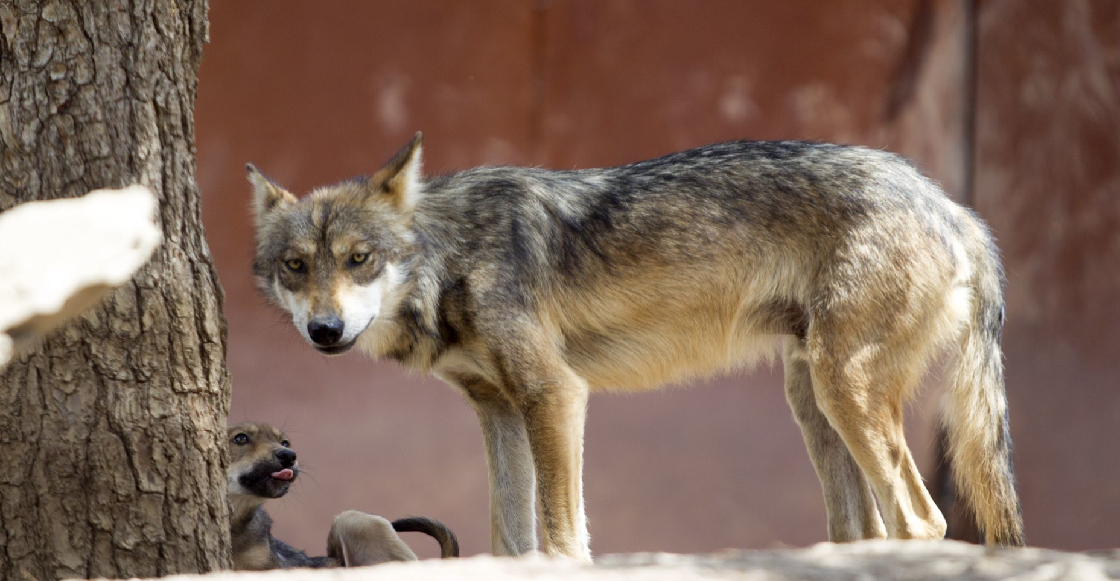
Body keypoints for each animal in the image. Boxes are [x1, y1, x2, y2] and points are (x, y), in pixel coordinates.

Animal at [252, 133, 1025, 559]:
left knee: (923, 521)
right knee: (861, 531)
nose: (324, 330)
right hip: (813, 402)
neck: (452, 255)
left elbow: (562, 534)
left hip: (844, 393)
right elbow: (510, 536)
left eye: (359, 260)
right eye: (296, 267)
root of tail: (950, 203)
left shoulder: (554, 394)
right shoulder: (498, 409)